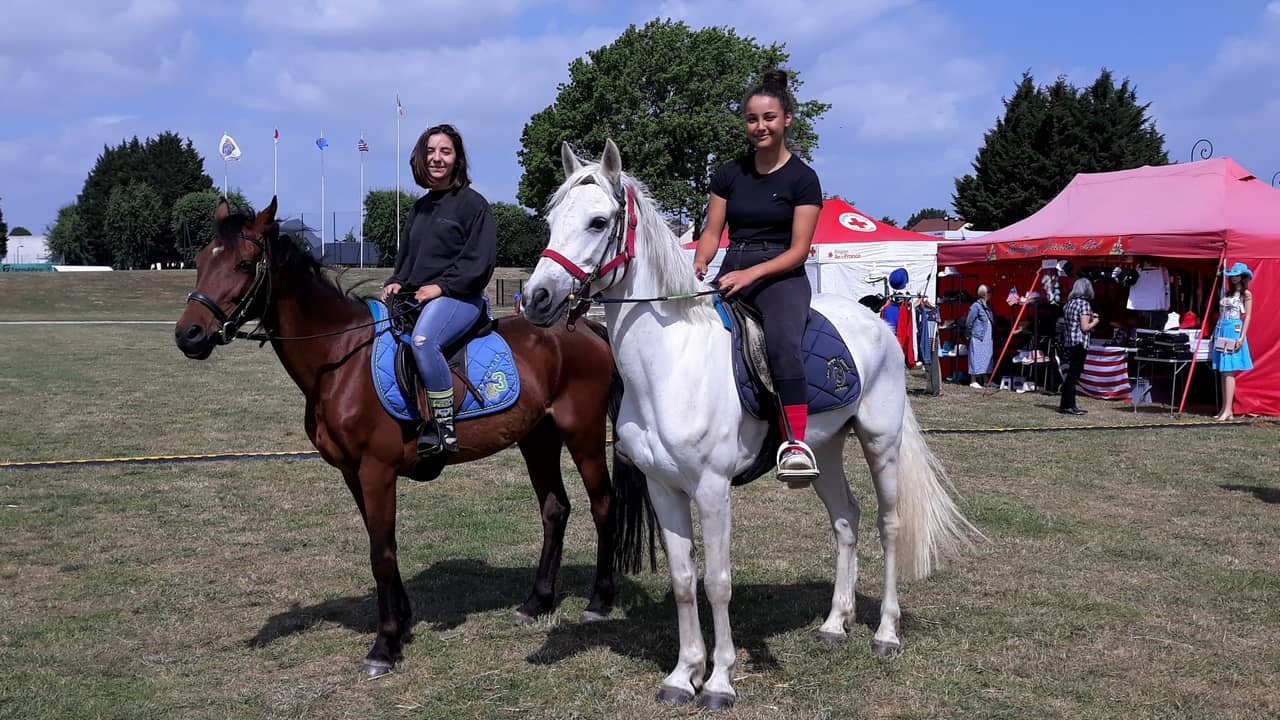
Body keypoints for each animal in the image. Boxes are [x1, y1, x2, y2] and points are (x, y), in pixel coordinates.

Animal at [177, 198, 637, 676]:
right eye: (200, 261)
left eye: (244, 264)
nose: (188, 335)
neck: (340, 361)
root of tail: (584, 329)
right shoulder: (352, 473)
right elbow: (381, 544)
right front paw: (401, 620)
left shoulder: (376, 471)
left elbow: (381, 553)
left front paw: (385, 645)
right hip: (538, 439)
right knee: (554, 509)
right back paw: (537, 602)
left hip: (582, 435)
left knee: (604, 505)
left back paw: (599, 600)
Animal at [519, 140, 977, 707]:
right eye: (551, 219)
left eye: (598, 221)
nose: (535, 299)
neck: (671, 362)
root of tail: (876, 322)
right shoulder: (663, 488)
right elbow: (683, 579)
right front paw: (683, 675)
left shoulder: (712, 489)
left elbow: (717, 581)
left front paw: (719, 681)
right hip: (824, 452)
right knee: (845, 521)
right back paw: (835, 623)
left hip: (880, 443)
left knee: (887, 526)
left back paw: (886, 634)